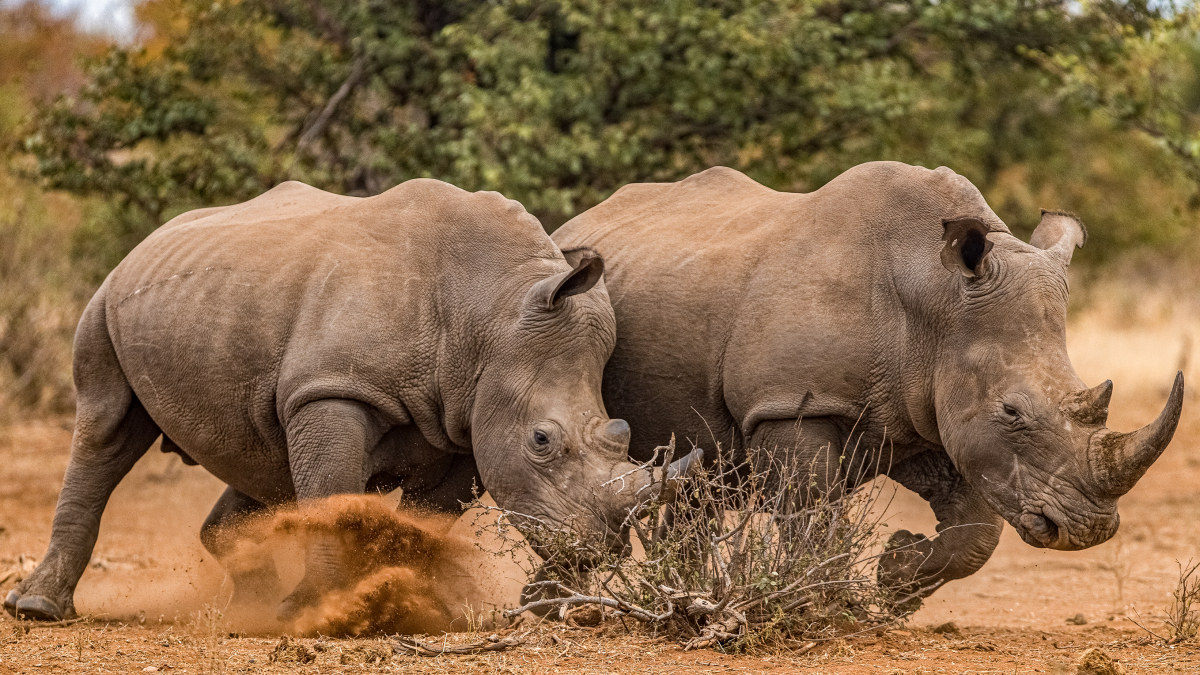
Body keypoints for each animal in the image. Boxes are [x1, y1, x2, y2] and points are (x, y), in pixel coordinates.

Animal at [4, 177, 700, 619]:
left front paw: (406, 603)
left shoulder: (464, 424)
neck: (490, 311)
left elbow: (423, 519)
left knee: (261, 459)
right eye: (542, 441)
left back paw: (248, 610)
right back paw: (39, 609)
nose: (600, 550)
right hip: (106, 297)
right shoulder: (334, 391)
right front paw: (324, 611)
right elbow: (332, 492)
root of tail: (150, 238)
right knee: (106, 427)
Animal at [554, 162, 1190, 598]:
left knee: (697, 475)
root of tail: (577, 221)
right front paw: (814, 605)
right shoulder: (795, 403)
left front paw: (895, 575)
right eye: (1011, 412)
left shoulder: (924, 410)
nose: (1088, 528)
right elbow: (810, 517)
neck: (934, 299)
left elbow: (977, 531)